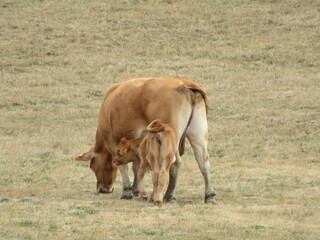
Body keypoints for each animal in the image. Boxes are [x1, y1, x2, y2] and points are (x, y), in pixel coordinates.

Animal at [75, 76, 216, 202]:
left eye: (92, 166)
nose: (102, 189)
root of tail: (184, 83)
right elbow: (137, 166)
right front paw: (136, 190)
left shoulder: (112, 142)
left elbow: (123, 166)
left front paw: (127, 191)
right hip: (198, 133)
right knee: (203, 160)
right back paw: (209, 195)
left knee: (175, 162)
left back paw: (169, 195)